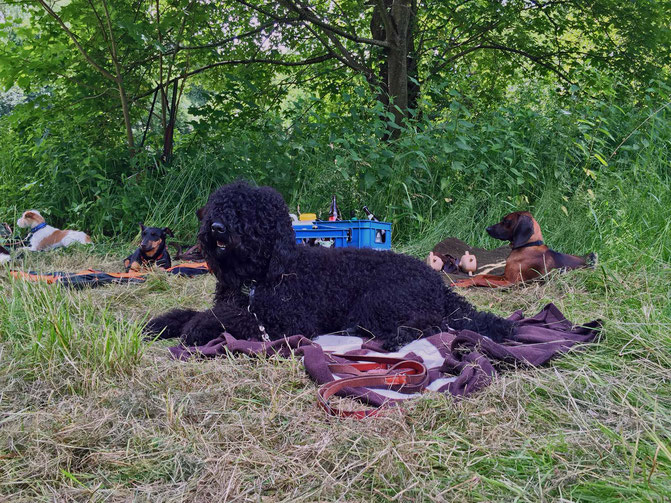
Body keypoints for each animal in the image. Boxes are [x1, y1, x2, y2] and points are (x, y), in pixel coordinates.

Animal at [144, 181, 516, 350]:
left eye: (249, 213)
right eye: (219, 205)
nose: (217, 228)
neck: (259, 276)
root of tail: (438, 284)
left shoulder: (289, 321)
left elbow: (221, 316)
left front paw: (196, 328)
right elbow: (195, 311)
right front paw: (162, 323)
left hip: (380, 299)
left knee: (433, 326)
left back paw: (391, 338)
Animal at [454, 212, 596, 290]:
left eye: (506, 221)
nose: (487, 229)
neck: (528, 246)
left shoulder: (510, 282)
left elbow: (480, 279)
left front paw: (464, 283)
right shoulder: (504, 276)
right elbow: (481, 276)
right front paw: (463, 281)